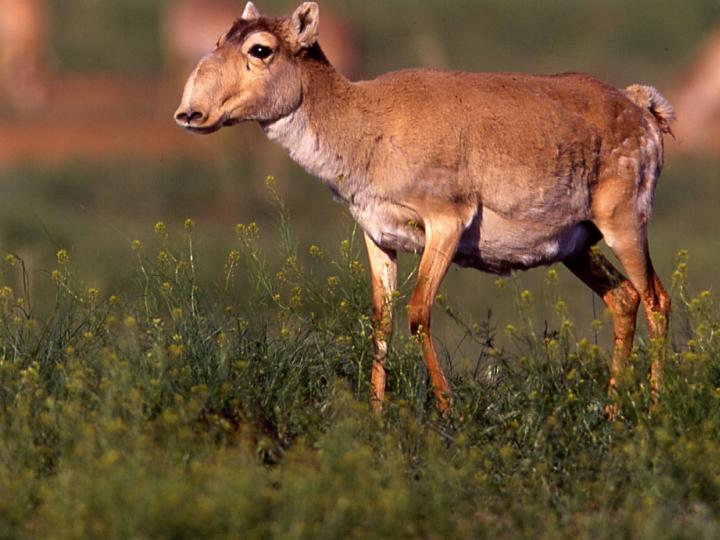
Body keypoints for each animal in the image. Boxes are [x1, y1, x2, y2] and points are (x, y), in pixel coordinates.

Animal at [174, 2, 676, 414]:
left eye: (260, 49)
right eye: (220, 39)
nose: (188, 113)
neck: (364, 119)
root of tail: (640, 105)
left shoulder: (445, 224)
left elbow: (418, 313)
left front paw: (449, 411)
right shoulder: (377, 235)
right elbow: (381, 322)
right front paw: (377, 417)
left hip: (624, 225)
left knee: (657, 300)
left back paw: (653, 410)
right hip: (576, 247)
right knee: (624, 299)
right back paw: (610, 410)